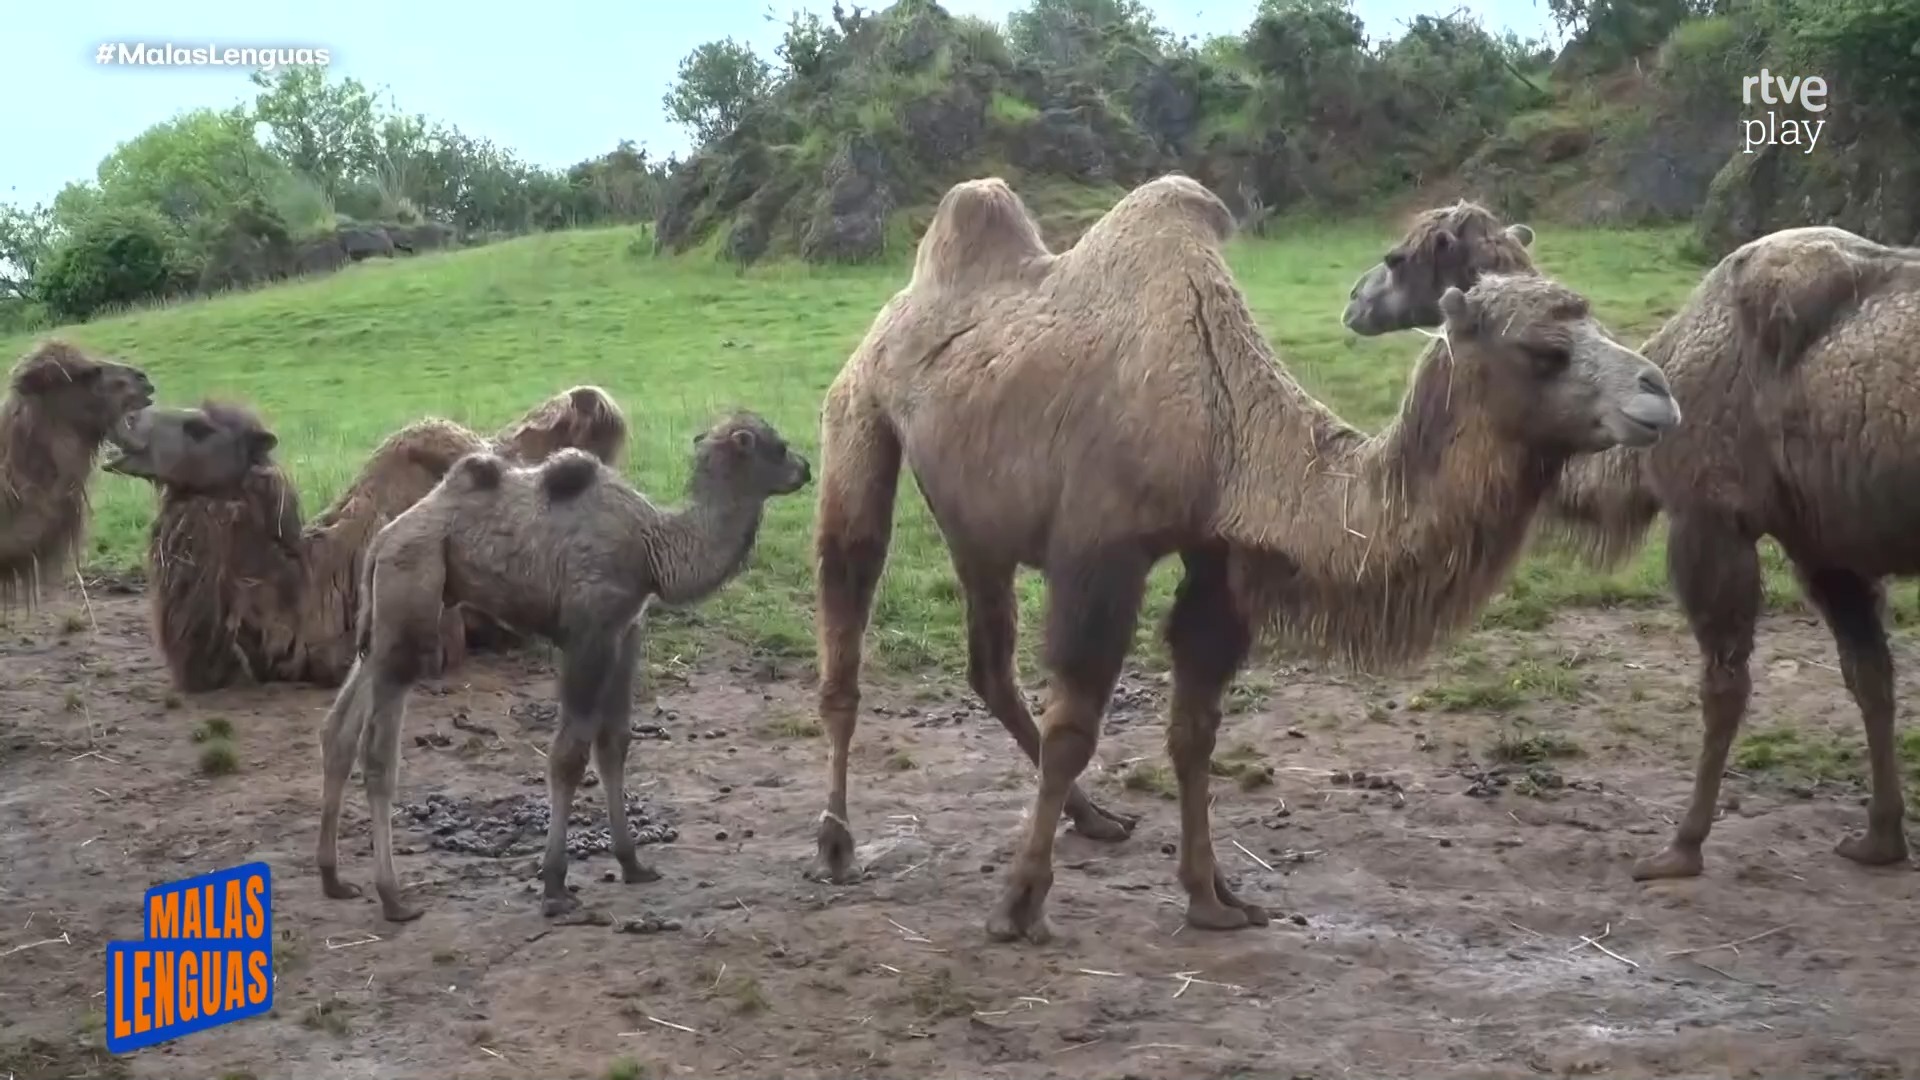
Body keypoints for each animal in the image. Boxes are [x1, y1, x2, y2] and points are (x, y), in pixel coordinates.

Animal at [316, 412, 810, 922]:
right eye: (778, 446)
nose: (806, 469)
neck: (654, 549)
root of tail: (380, 542)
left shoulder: (625, 630)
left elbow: (614, 743)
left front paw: (633, 863)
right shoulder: (587, 631)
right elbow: (568, 755)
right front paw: (555, 885)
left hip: (385, 618)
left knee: (340, 729)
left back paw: (334, 879)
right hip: (412, 596)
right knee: (378, 752)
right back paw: (393, 898)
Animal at [808, 173, 1681, 944]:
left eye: (1592, 319)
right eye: (1545, 350)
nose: (1659, 392)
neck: (1229, 434)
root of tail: (901, 304)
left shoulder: (1218, 558)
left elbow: (1194, 730)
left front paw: (1214, 898)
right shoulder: (1099, 551)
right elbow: (1075, 728)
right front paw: (1019, 907)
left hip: (976, 516)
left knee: (988, 662)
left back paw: (1095, 817)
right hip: (857, 412)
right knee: (849, 610)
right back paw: (838, 843)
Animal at [1542, 226, 1920, 880]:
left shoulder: (1710, 516)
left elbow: (1724, 688)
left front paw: (1680, 847)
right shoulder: (1821, 546)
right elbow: (1869, 676)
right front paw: (1880, 838)